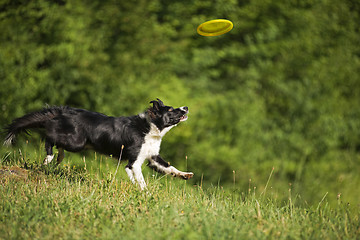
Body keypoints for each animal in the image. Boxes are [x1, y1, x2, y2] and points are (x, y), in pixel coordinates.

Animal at [3, 99, 194, 189]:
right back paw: (49, 158)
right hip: (76, 141)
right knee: (49, 135)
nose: (186, 107)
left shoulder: (152, 157)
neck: (150, 128)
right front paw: (146, 193)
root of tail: (63, 111)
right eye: (171, 110)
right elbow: (140, 180)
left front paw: (186, 175)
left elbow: (169, 168)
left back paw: (58, 158)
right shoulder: (134, 161)